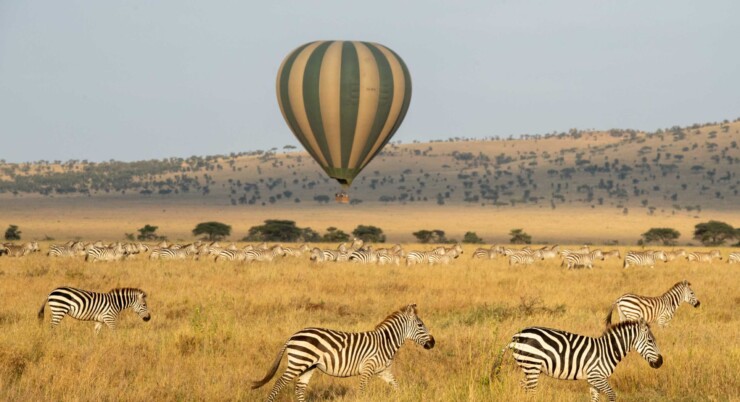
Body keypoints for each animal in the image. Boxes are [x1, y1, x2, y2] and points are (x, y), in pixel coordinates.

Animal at [251, 304, 434, 402]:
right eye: (420, 325)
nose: (433, 343)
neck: (385, 343)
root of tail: (292, 336)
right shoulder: (368, 368)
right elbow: (362, 390)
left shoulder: (383, 371)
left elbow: (397, 387)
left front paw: (403, 397)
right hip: (298, 362)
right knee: (279, 383)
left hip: (308, 366)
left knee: (299, 388)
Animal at [494, 318, 660, 402]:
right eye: (651, 341)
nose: (660, 362)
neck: (607, 350)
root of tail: (516, 336)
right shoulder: (597, 376)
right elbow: (612, 395)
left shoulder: (594, 380)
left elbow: (595, 399)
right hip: (532, 365)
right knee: (531, 391)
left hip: (530, 368)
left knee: (524, 387)